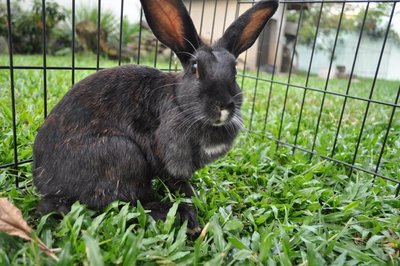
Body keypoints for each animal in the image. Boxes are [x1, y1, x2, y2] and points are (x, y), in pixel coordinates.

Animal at [32, 0, 278, 231]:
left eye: (235, 71)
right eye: (195, 68)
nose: (223, 105)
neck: (180, 104)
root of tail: (43, 180)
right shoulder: (168, 158)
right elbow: (178, 183)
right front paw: (191, 199)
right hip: (123, 154)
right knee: (125, 201)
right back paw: (183, 216)